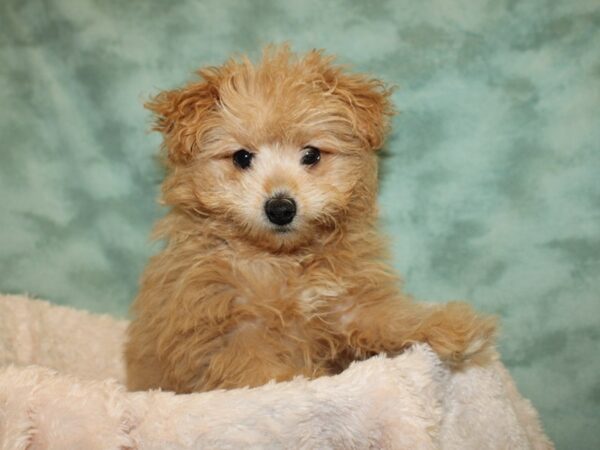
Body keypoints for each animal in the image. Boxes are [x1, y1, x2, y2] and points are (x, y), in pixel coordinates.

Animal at [125, 46, 496, 394]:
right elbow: (259, 371)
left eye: (312, 154)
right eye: (242, 157)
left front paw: (450, 325)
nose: (281, 208)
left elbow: (388, 316)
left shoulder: (346, 302)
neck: (284, 262)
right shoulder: (227, 329)